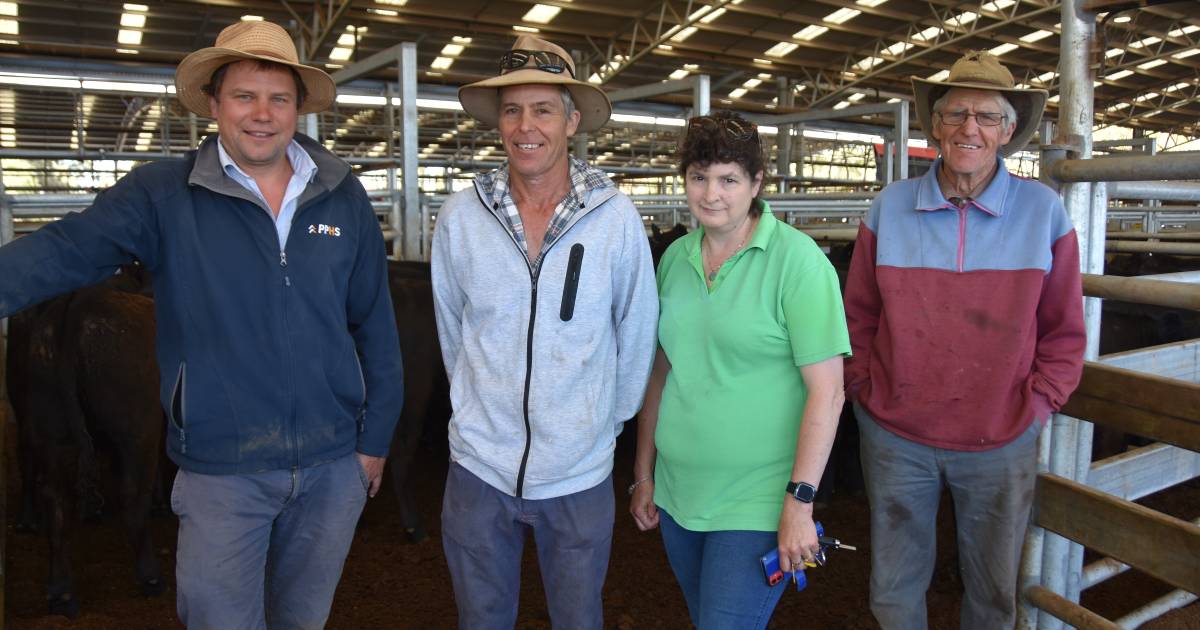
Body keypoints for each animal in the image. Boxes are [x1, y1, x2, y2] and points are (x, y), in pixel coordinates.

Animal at [7, 270, 164, 614]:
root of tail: (76, 302)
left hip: (46, 426)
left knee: (53, 496)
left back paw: (60, 589)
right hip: (137, 430)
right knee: (133, 498)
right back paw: (150, 576)